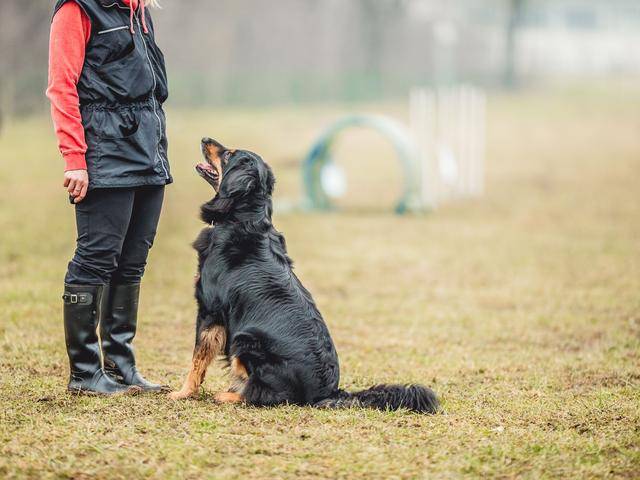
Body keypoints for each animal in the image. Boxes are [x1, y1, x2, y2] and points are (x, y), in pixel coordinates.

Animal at [169, 137, 440, 414]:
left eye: (228, 154)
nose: (205, 139)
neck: (243, 218)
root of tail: (328, 392)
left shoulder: (209, 311)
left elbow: (197, 360)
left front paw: (183, 393)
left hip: (244, 340)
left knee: (267, 395)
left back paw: (229, 395)